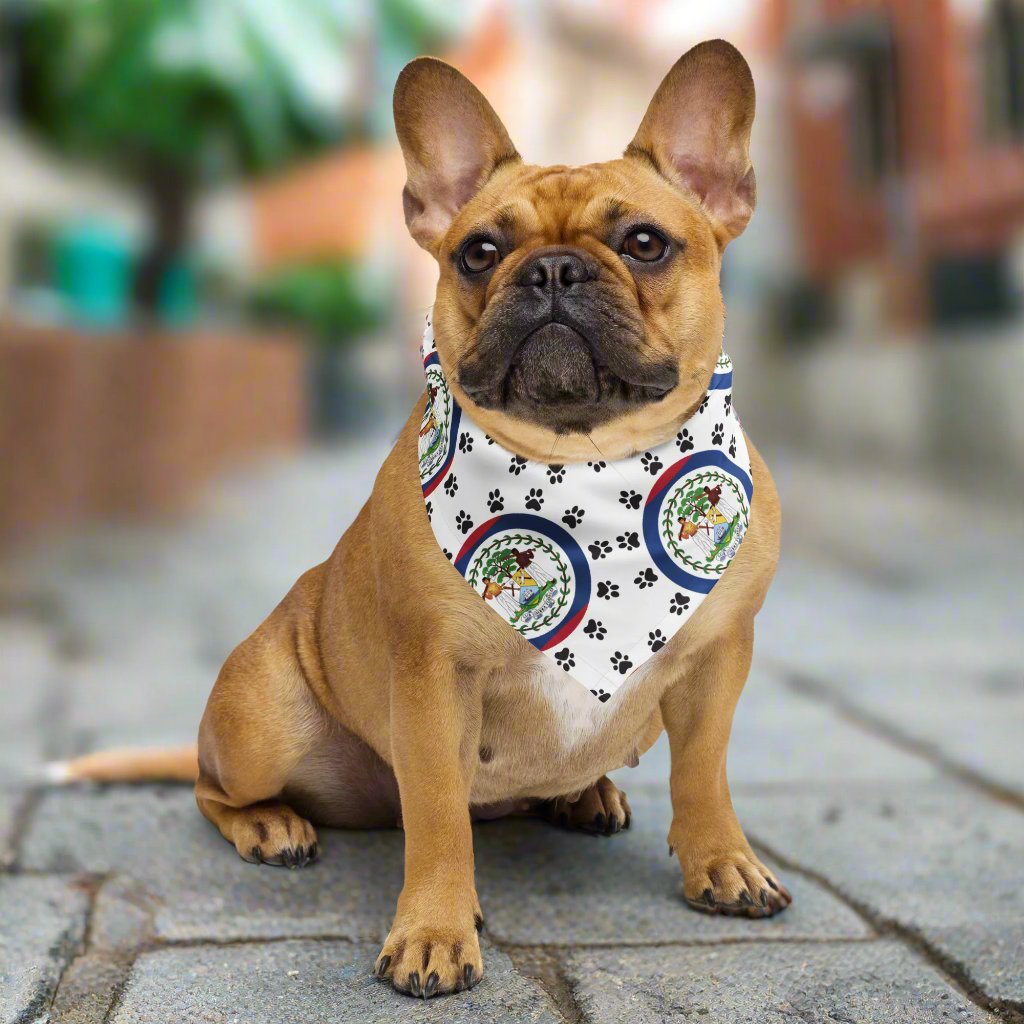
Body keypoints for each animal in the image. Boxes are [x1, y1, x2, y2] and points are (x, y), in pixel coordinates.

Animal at [64, 39, 786, 999]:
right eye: (479, 251)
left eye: (644, 242)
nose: (552, 270)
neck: (585, 468)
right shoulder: (434, 680)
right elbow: (440, 816)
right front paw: (436, 931)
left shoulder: (716, 662)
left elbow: (705, 772)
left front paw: (722, 861)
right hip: (264, 721)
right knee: (213, 790)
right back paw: (271, 825)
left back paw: (585, 793)